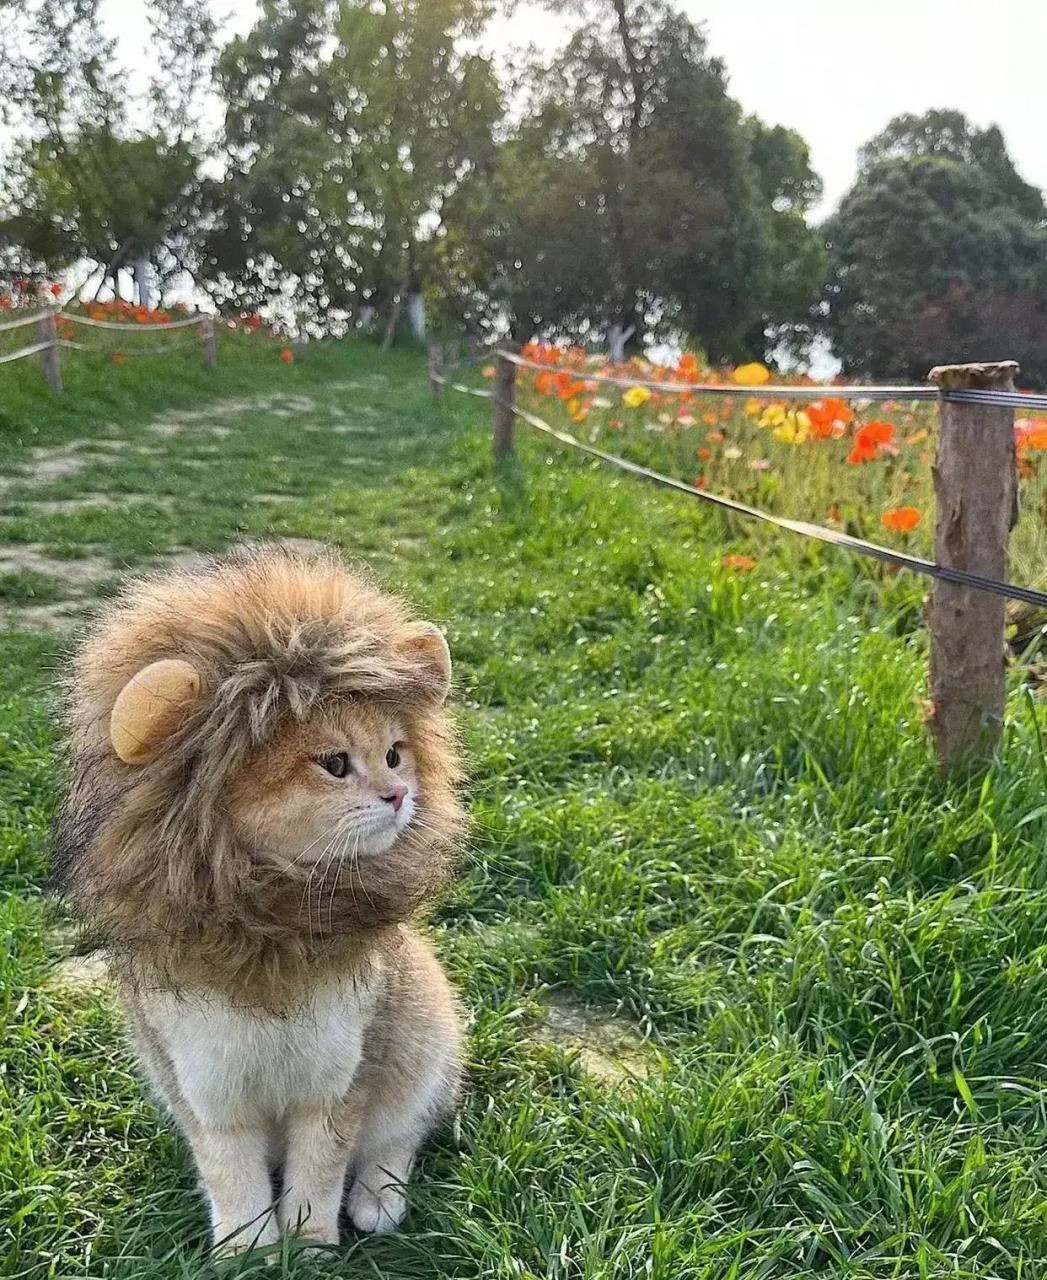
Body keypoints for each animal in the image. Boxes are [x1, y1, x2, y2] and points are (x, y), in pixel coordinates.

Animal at [54, 545, 465, 1254]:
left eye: (395, 753)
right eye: (334, 763)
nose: (399, 796)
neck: (272, 930)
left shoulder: (337, 1085)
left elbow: (320, 1173)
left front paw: (312, 1245)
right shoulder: (208, 1095)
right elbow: (234, 1180)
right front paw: (248, 1251)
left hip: (426, 1049)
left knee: (400, 1138)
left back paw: (378, 1202)